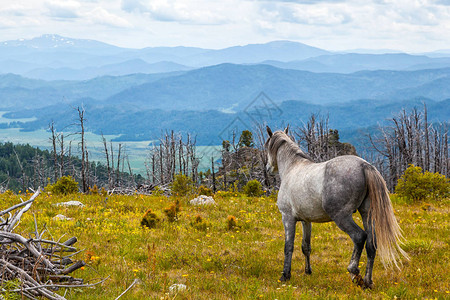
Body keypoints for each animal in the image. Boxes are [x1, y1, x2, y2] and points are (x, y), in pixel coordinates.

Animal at [264, 126, 408, 288]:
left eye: (267, 146)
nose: (268, 168)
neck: (292, 168)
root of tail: (365, 166)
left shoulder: (287, 217)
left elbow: (288, 246)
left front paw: (285, 275)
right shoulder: (306, 221)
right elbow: (306, 247)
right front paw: (308, 271)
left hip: (341, 217)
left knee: (359, 237)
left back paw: (353, 272)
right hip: (367, 214)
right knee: (371, 244)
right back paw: (367, 281)